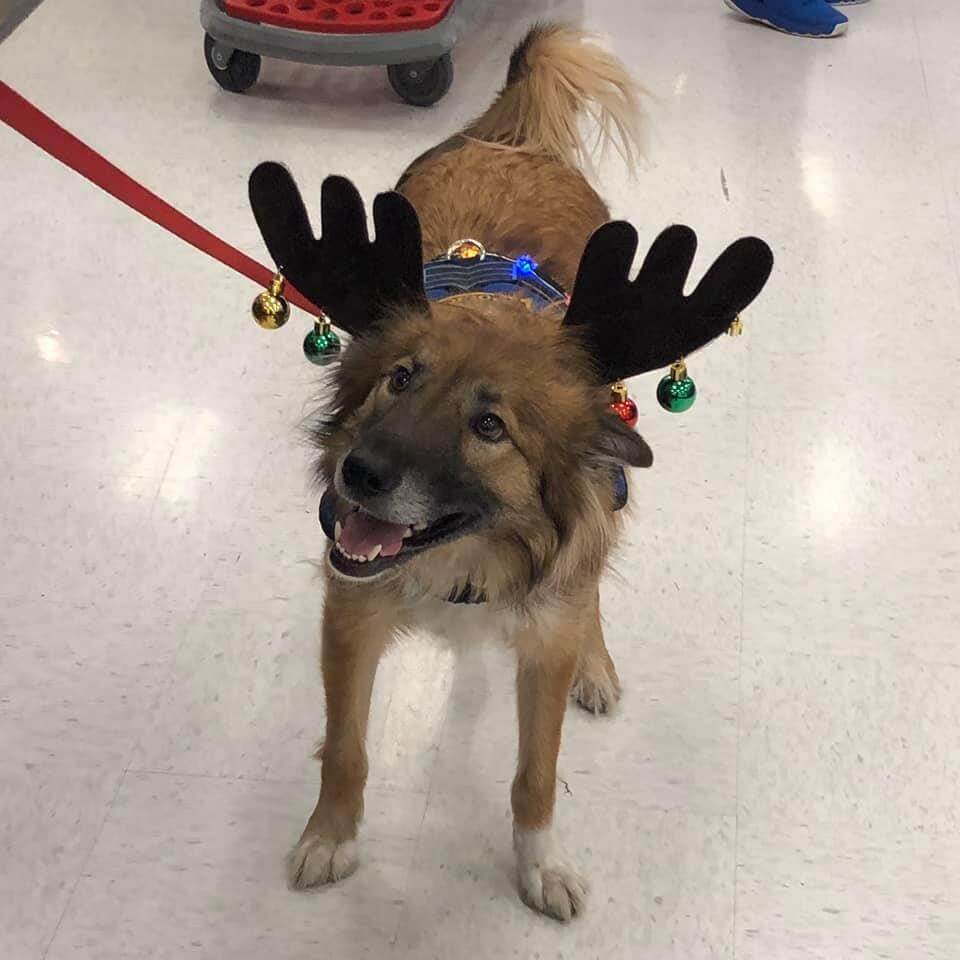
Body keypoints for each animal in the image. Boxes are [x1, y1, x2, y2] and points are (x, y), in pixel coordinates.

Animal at [248, 24, 772, 924]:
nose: (356, 475)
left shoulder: (542, 633)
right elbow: (346, 749)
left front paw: (539, 866)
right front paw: (331, 837)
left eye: (490, 427)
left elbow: (536, 774)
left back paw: (597, 665)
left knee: (592, 578)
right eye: (399, 379)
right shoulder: (351, 615)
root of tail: (513, 142)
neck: (465, 556)